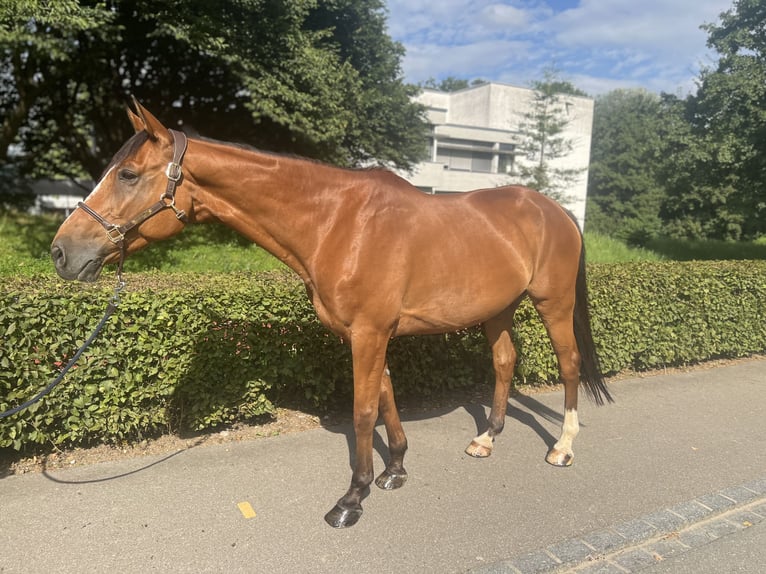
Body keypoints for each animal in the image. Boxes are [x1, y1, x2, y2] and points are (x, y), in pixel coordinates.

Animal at [51, 102, 616, 532]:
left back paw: (563, 447)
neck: (337, 223)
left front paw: (353, 498)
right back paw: (485, 438)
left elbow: (363, 411)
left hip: (554, 304)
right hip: (498, 308)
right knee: (503, 361)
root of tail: (556, 210)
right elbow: (385, 395)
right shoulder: (366, 335)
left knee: (568, 365)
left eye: (127, 174)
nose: (61, 252)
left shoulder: (369, 333)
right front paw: (395, 469)